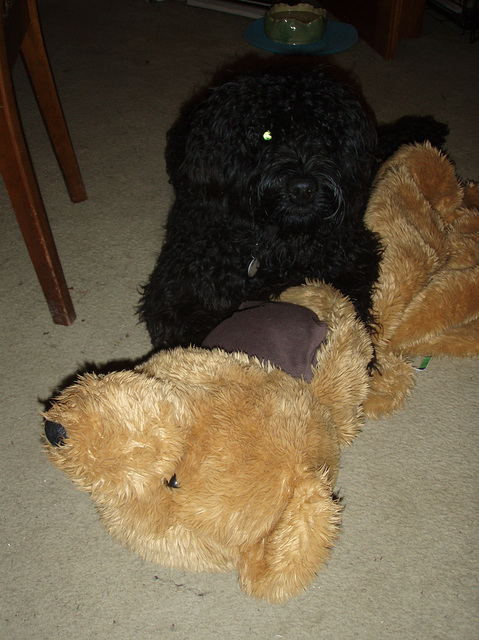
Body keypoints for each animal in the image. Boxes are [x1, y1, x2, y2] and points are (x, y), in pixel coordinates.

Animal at [140, 67, 450, 348]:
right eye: (266, 135)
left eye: (325, 134)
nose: (303, 188)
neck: (279, 241)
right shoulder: (176, 290)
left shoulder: (353, 259)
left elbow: (353, 311)